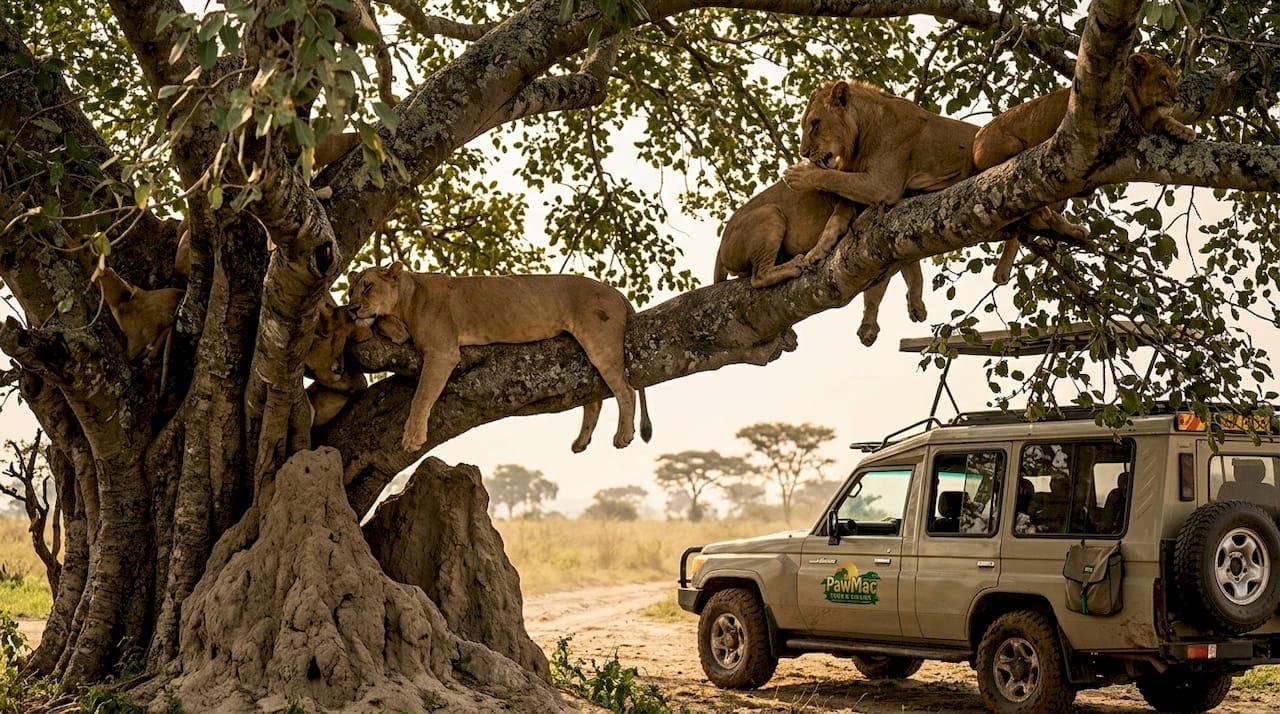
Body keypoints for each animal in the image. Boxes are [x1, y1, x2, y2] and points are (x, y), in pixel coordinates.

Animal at [346, 262, 653, 452]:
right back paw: (581, 442)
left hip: (600, 342)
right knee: (594, 399)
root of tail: (615, 290)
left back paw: (623, 436)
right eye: (351, 290)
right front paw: (390, 328)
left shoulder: (443, 352)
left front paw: (412, 438)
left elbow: (421, 396)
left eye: (368, 286)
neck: (407, 297)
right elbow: (380, 324)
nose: (351, 308)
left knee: (625, 389)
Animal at [716, 80, 978, 346]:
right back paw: (793, 264)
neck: (865, 127)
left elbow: (897, 269)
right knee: (758, 276)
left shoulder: (881, 186)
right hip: (770, 212)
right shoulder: (864, 194)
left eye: (815, 123)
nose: (804, 154)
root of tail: (721, 245)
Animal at [974, 52, 1196, 283]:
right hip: (1013, 148)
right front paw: (1182, 128)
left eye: (1173, 79)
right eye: (1163, 79)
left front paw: (1183, 131)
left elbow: (1162, 118)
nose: (1176, 99)